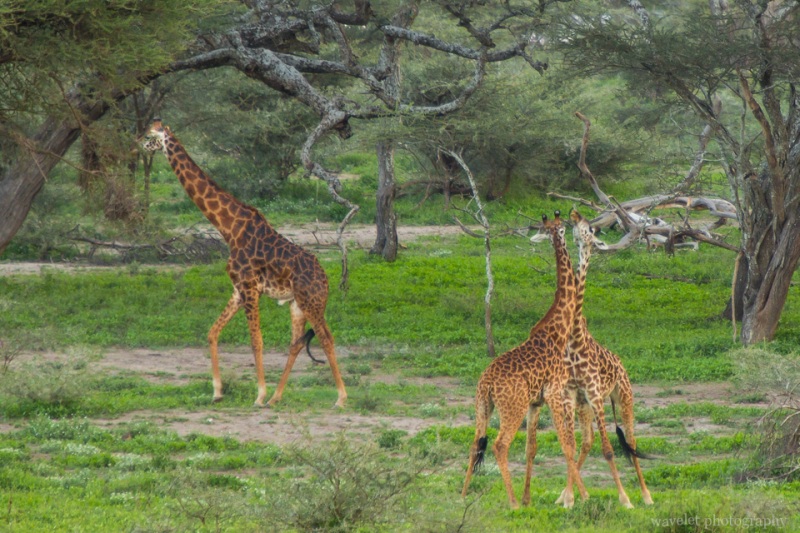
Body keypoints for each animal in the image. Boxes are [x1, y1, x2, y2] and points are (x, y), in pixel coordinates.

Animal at [142, 119, 347, 408]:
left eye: (151, 135)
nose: (138, 143)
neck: (229, 228)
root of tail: (325, 278)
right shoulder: (238, 289)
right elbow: (212, 333)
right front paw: (217, 391)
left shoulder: (250, 287)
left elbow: (256, 341)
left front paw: (258, 395)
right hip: (297, 305)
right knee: (296, 343)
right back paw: (276, 397)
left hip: (312, 301)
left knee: (327, 338)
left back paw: (340, 398)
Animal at [461, 210, 588, 509]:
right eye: (563, 227)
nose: (573, 218)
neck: (558, 329)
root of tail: (486, 383)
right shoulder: (555, 393)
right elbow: (567, 443)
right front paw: (581, 496)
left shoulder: (535, 402)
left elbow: (533, 448)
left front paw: (530, 497)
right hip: (512, 407)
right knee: (500, 445)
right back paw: (512, 503)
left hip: (483, 406)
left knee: (475, 443)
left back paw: (462, 496)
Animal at [554, 208, 653, 508]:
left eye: (591, 230)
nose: (575, 214)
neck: (576, 340)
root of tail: (621, 363)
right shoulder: (574, 396)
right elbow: (573, 445)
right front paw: (568, 499)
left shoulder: (596, 396)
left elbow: (608, 450)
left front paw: (625, 500)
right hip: (586, 406)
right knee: (586, 442)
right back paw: (569, 495)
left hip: (623, 397)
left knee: (631, 442)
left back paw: (646, 496)